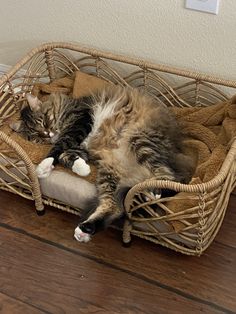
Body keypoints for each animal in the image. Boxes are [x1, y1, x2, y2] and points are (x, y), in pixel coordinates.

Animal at [11, 86, 195, 243]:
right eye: (37, 136)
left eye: (44, 121)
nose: (48, 135)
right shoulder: (83, 146)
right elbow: (65, 155)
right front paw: (81, 168)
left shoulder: (81, 120)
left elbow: (60, 147)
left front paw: (44, 165)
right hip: (109, 171)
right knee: (114, 207)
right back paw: (85, 230)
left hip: (141, 141)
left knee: (169, 178)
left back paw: (155, 191)